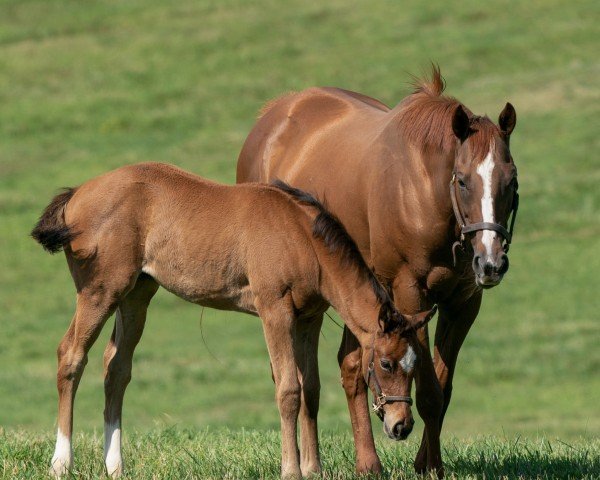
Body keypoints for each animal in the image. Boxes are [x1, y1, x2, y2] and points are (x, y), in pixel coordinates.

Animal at [31, 163, 436, 478]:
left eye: (414, 364)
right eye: (386, 363)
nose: (401, 425)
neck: (302, 238)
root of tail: (77, 193)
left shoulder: (308, 319)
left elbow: (311, 389)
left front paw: (313, 469)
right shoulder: (275, 310)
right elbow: (289, 390)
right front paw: (291, 470)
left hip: (136, 295)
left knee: (116, 370)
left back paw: (115, 466)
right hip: (100, 291)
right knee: (71, 356)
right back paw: (61, 463)